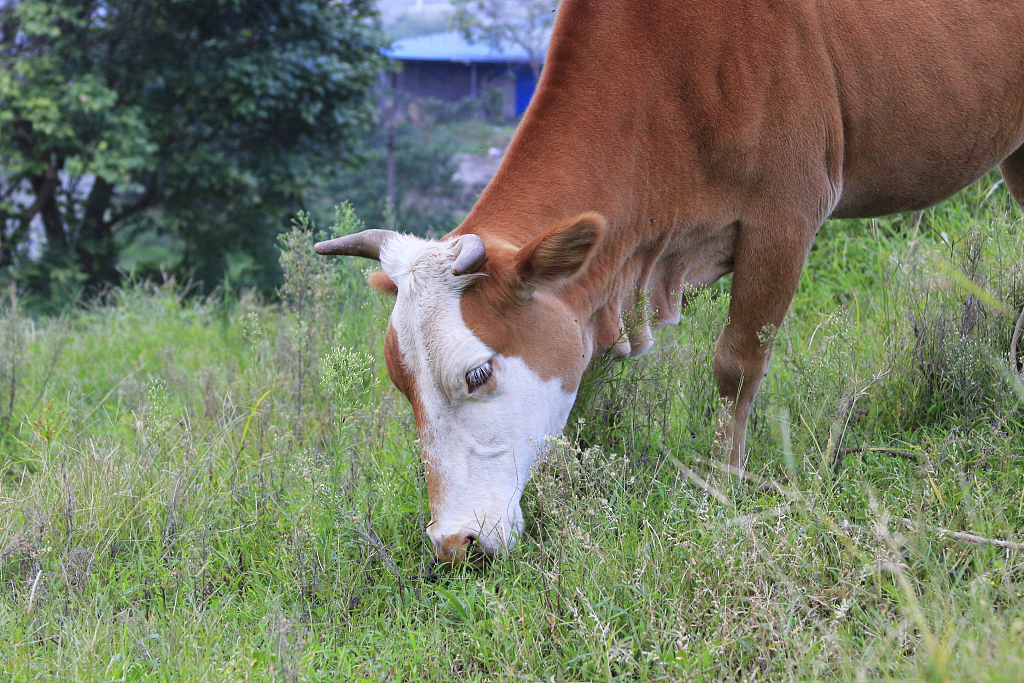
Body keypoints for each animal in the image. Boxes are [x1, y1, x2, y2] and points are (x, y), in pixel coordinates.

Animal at [313, 0, 1024, 565]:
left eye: (478, 373)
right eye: (402, 384)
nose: (453, 543)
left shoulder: (784, 215)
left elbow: (737, 365)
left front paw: (725, 487)